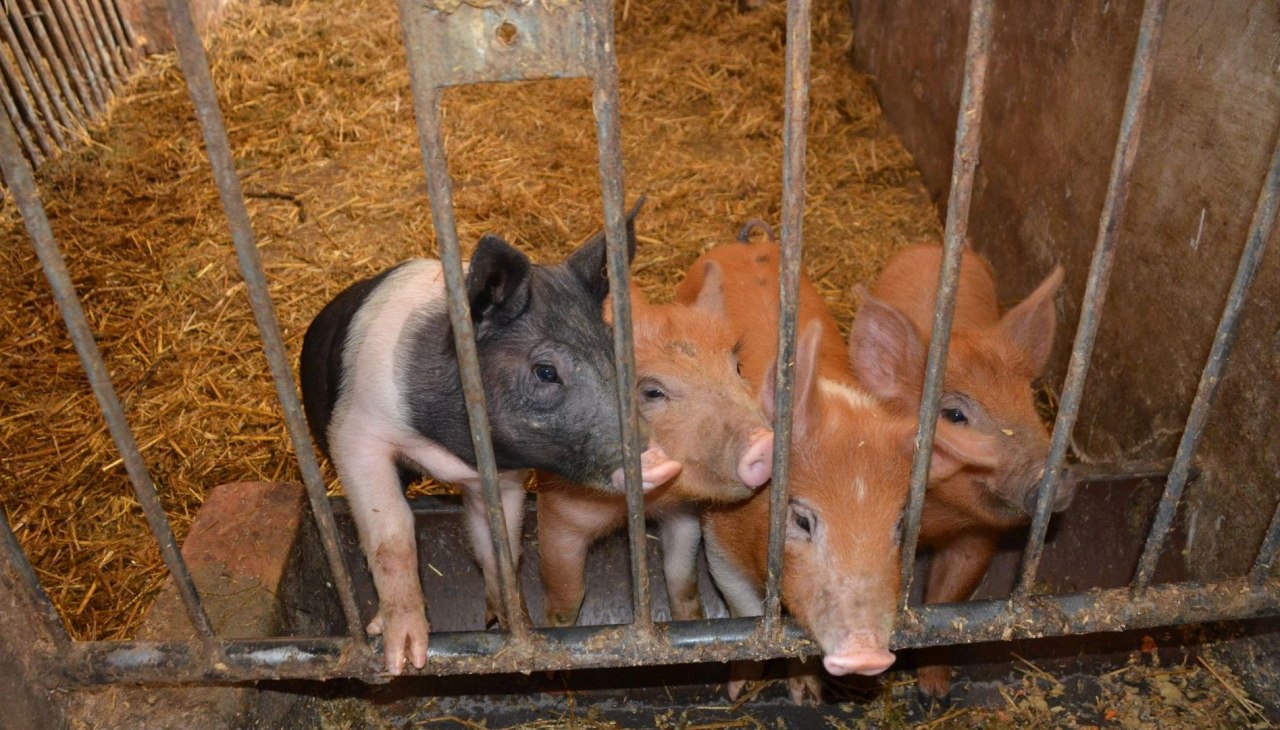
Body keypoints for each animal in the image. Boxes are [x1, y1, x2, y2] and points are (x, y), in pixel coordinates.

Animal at [299, 200, 681, 674]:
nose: (663, 460)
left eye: (616, 353)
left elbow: (499, 547)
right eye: (546, 371)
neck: (447, 450)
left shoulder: (503, 477)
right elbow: (392, 533)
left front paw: (516, 627)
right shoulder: (356, 433)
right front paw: (406, 658)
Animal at [537, 263, 774, 627]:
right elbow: (567, 592)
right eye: (652, 392)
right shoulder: (559, 514)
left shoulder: (683, 513)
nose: (764, 442)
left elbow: (681, 575)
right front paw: (555, 626)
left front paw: (691, 619)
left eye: (737, 367)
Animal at [675, 233, 999, 702]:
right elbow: (749, 613)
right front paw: (737, 692)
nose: (866, 654)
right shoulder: (719, 542)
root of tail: (746, 245)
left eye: (899, 526)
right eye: (801, 520)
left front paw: (807, 696)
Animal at [845, 243, 1067, 698]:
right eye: (953, 415)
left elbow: (947, 605)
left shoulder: (976, 538)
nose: (1053, 478)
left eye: (1030, 399)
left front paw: (933, 694)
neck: (936, 517)